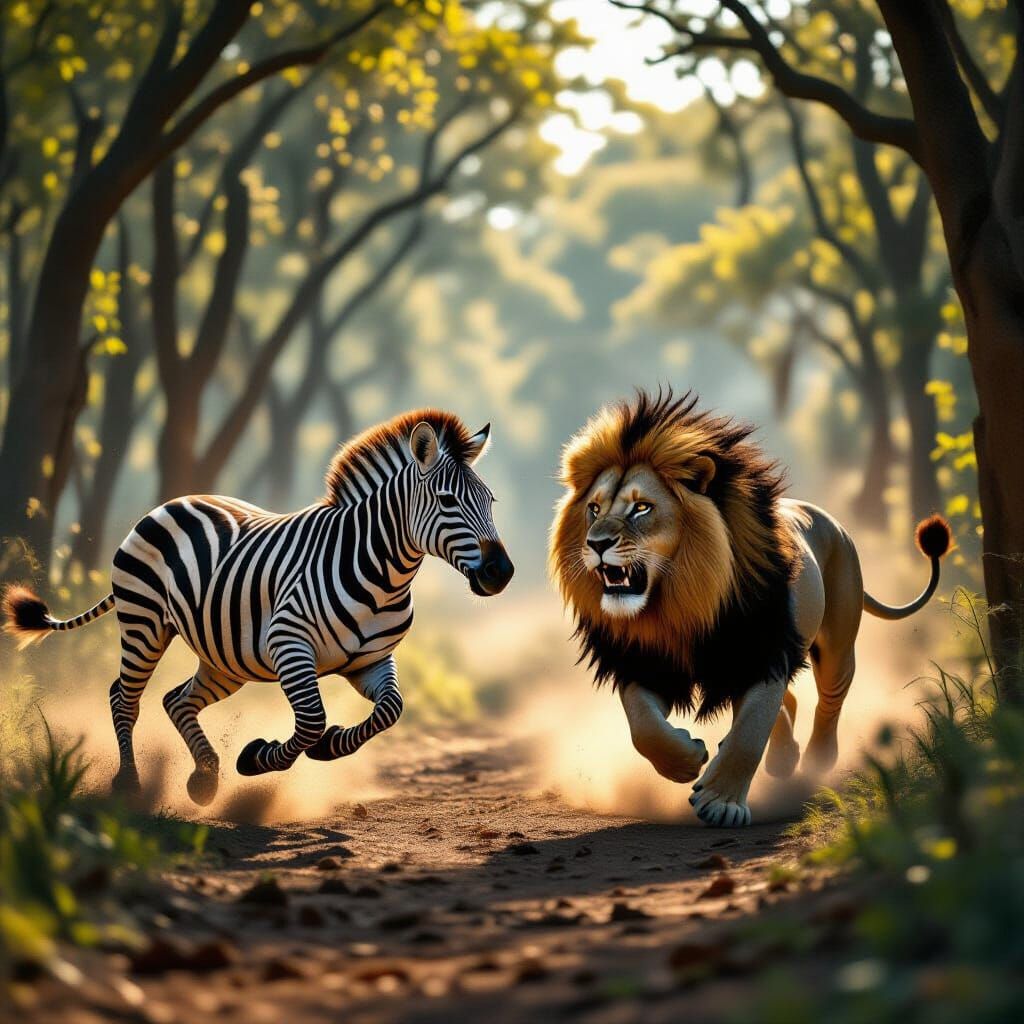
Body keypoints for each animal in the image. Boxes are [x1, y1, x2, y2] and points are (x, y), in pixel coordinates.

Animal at [3, 410, 514, 805]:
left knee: (176, 699)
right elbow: (310, 722)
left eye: (490, 501)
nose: (501, 572)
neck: (382, 575)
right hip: (143, 622)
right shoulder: (289, 644)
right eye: (447, 501)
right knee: (123, 698)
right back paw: (130, 784)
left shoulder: (371, 660)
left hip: (226, 657)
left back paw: (204, 777)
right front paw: (255, 759)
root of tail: (173, 501)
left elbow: (391, 710)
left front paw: (330, 747)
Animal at [549, 388, 952, 828]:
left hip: (836, 644)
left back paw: (815, 762)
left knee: (829, 700)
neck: (679, 603)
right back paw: (783, 757)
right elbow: (644, 728)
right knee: (789, 702)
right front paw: (686, 759)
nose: (596, 543)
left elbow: (750, 733)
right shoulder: (644, 661)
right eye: (594, 508)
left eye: (642, 508)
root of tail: (833, 522)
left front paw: (721, 803)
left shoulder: (761, 653)